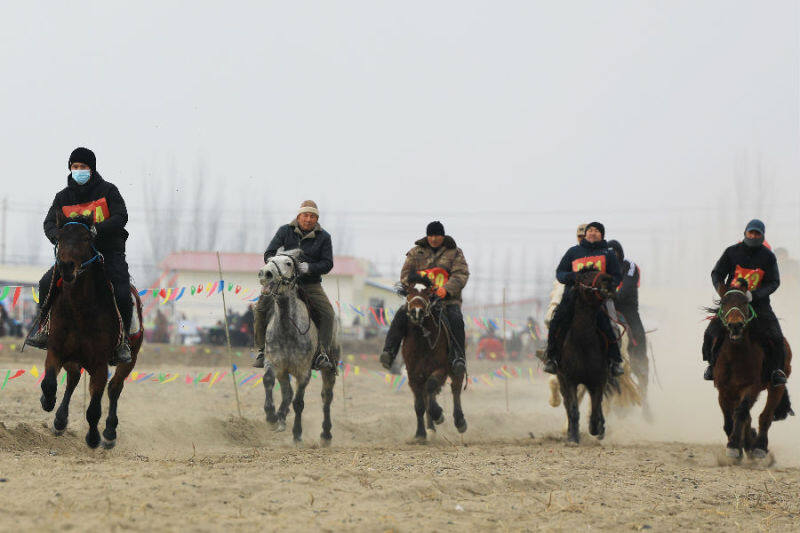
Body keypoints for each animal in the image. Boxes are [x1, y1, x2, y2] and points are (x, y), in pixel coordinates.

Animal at [39, 214, 144, 446]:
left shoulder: (99, 364)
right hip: (74, 358)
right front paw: (47, 402)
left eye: (87, 238)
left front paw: (94, 438)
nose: (66, 266)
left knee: (114, 388)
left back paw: (110, 433)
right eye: (59, 237)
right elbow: (49, 383)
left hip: (130, 359)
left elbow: (94, 408)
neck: (80, 309)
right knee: (73, 379)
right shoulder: (56, 351)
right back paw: (60, 420)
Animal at [258, 247, 340, 442]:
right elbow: (268, 381)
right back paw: (280, 417)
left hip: (329, 368)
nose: (266, 274)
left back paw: (326, 435)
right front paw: (271, 416)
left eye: (288, 263)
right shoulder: (274, 363)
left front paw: (297, 434)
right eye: (270, 259)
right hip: (284, 371)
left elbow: (299, 403)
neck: (287, 329)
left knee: (326, 398)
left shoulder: (303, 373)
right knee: (287, 393)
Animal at [400, 272, 468, 438]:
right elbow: (419, 404)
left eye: (427, 293)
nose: (416, 312)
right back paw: (430, 427)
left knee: (455, 388)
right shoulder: (413, 375)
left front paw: (438, 413)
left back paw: (459, 421)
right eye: (409, 291)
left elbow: (431, 387)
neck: (422, 341)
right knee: (427, 396)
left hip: (455, 368)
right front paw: (420, 434)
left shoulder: (441, 368)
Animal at [556, 270, 620, 444]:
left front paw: (596, 428)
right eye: (585, 277)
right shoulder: (570, 379)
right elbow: (573, 409)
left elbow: (596, 408)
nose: (608, 282)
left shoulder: (599, 380)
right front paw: (573, 437)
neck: (583, 343)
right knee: (567, 404)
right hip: (561, 380)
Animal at [712, 288, 792, 460]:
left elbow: (741, 412)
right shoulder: (724, 389)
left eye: (745, 303)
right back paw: (749, 444)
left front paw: (734, 446)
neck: (736, 355)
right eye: (723, 302)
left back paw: (759, 447)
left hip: (777, 386)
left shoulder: (751, 387)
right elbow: (729, 418)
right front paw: (739, 445)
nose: (735, 325)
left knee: (765, 416)